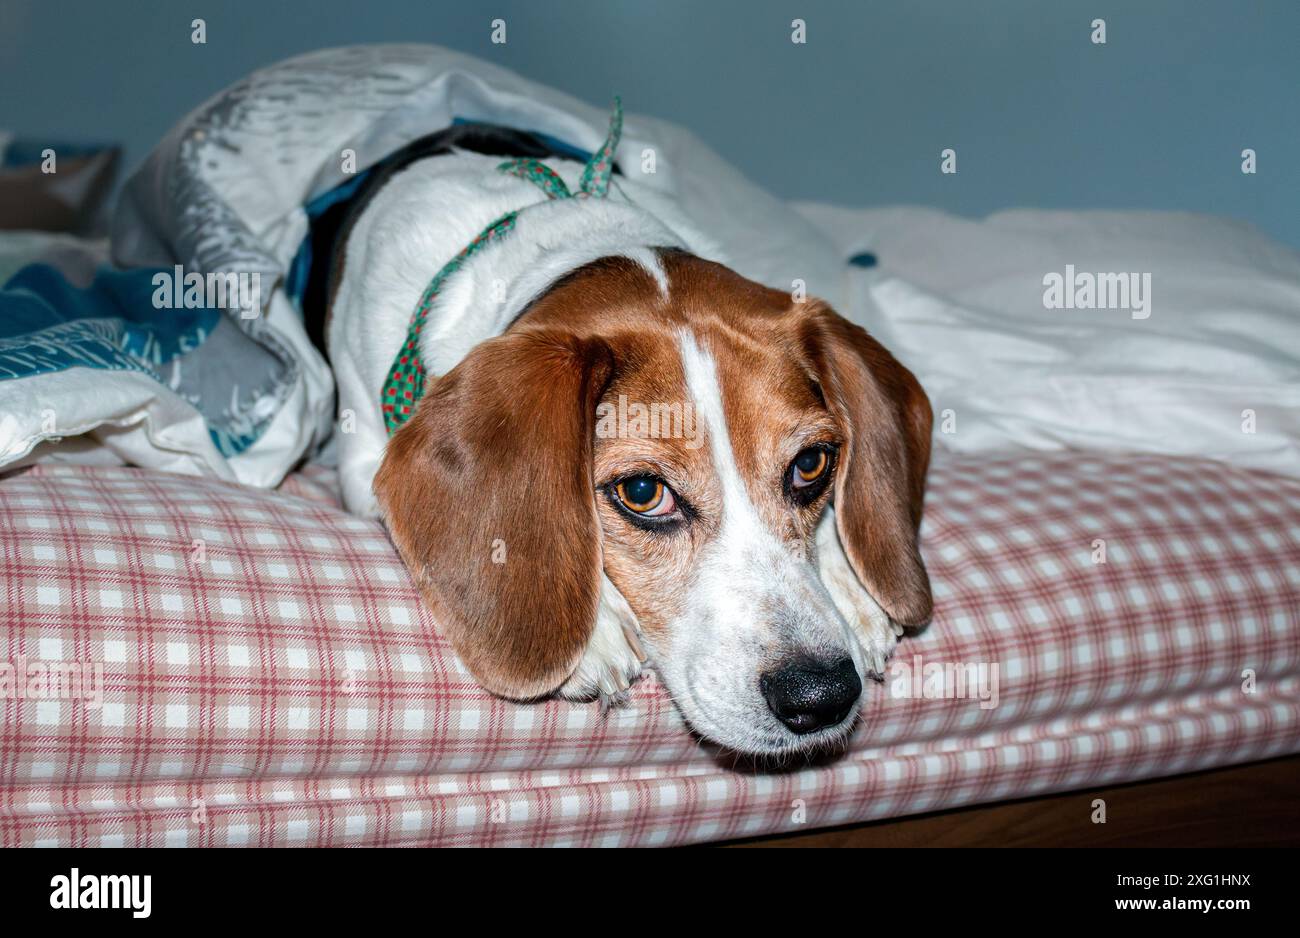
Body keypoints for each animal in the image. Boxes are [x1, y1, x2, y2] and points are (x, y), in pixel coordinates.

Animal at [317, 114, 935, 753]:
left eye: (811, 463)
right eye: (643, 493)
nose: (822, 695)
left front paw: (848, 582)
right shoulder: (357, 469)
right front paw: (594, 631)